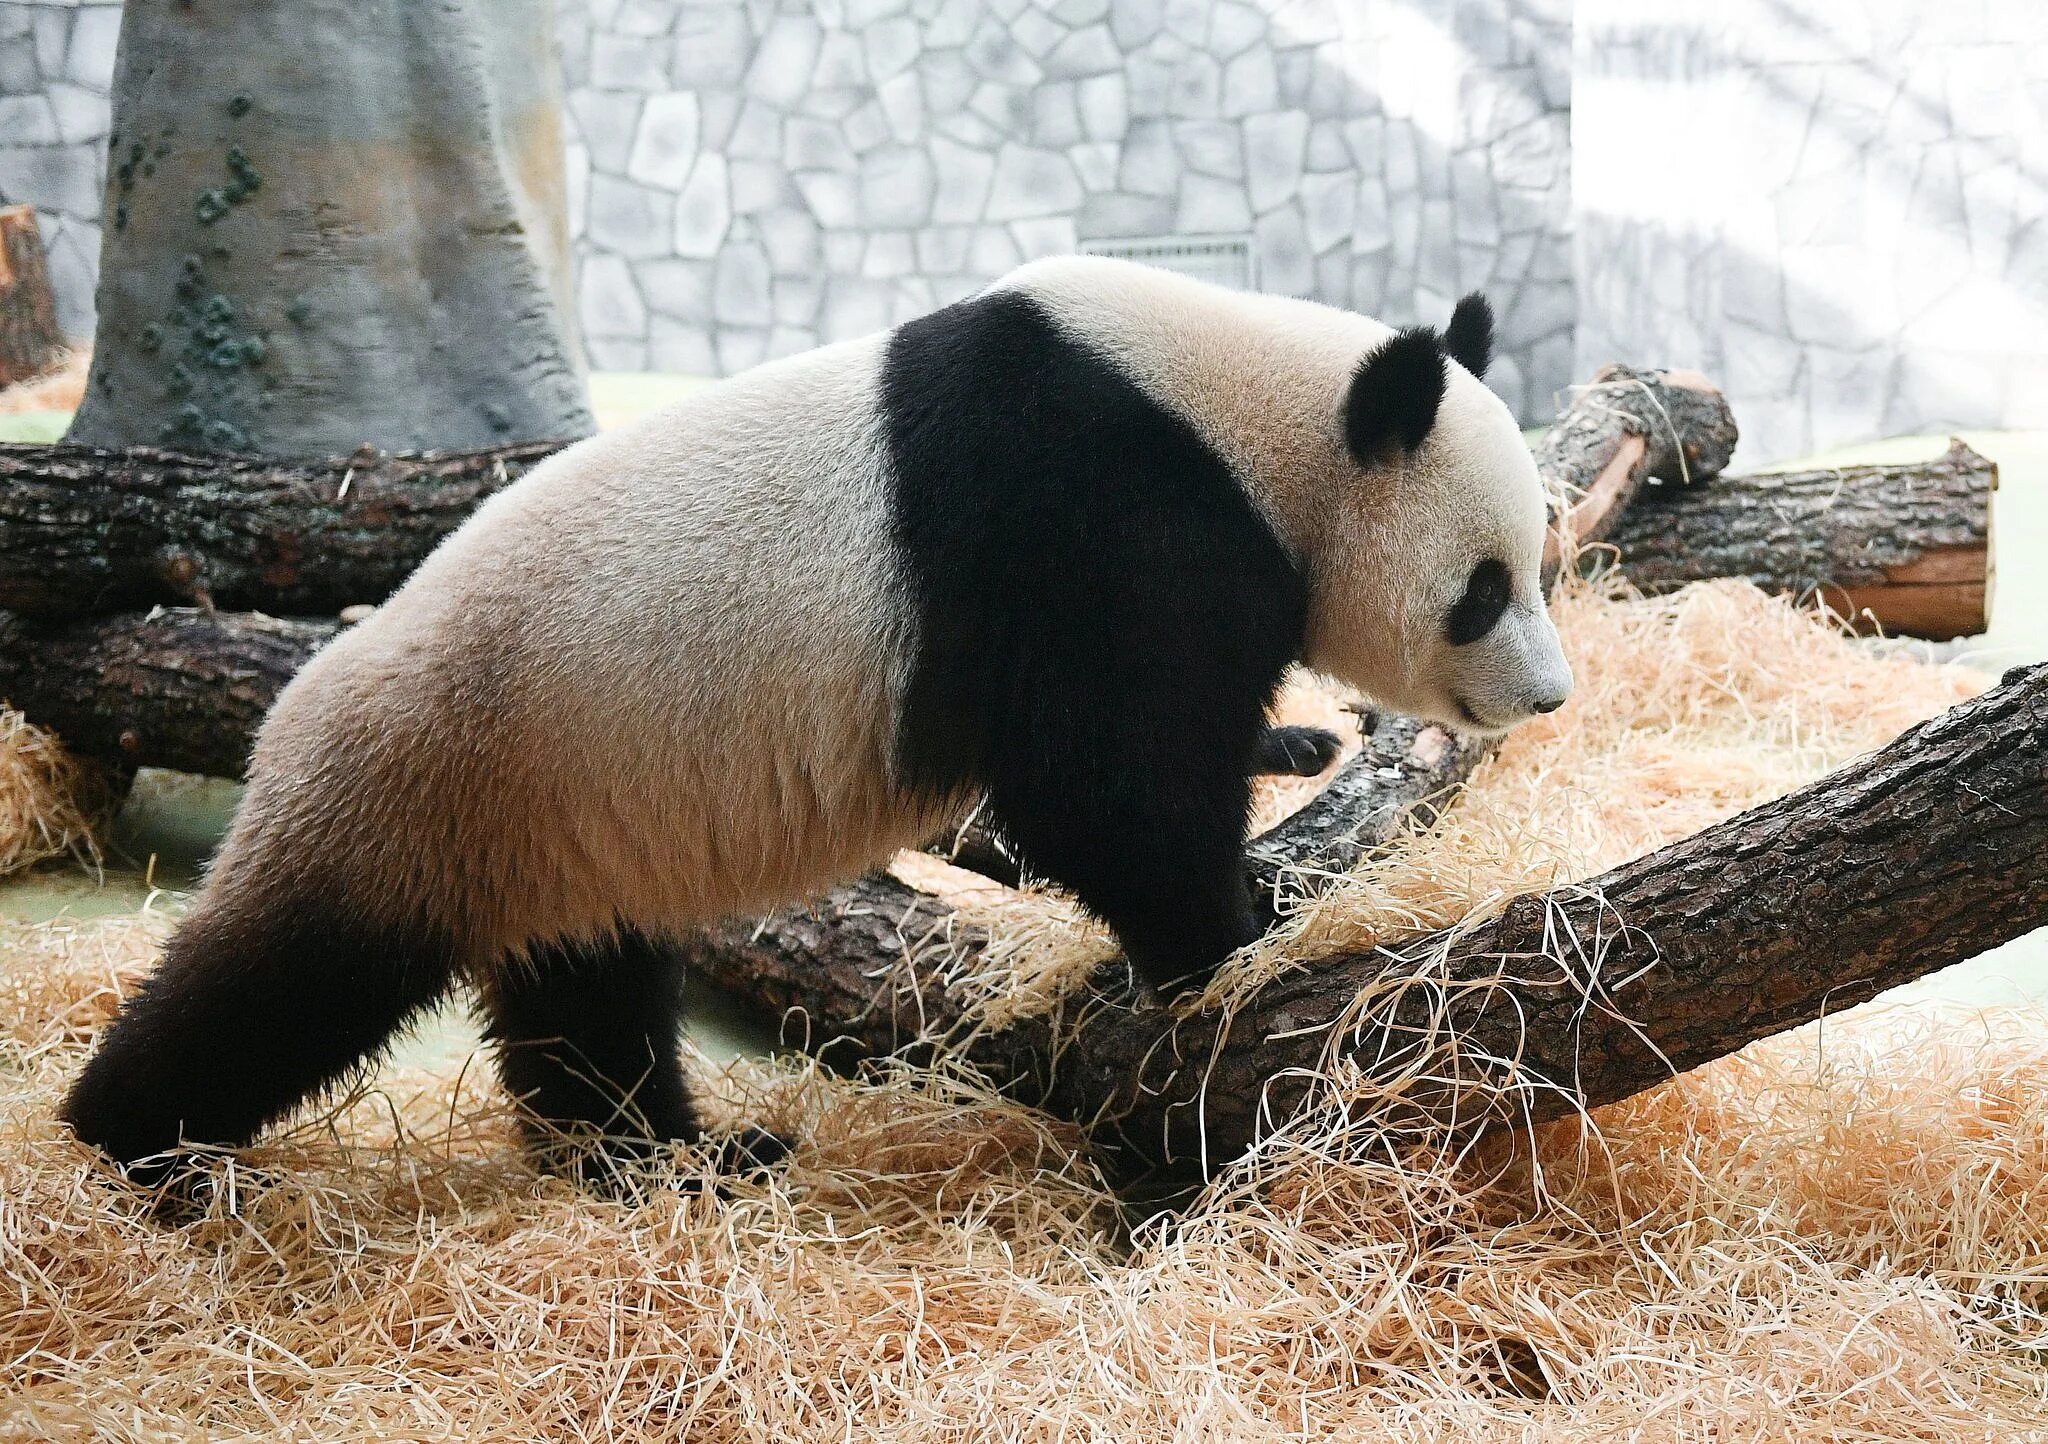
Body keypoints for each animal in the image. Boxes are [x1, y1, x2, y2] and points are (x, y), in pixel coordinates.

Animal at [59, 256, 1564, 1179]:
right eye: (1483, 590)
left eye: (1541, 562)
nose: (1546, 695)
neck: (1253, 414)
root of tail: (289, 718)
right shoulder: (1092, 510)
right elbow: (1096, 777)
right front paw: (1227, 927)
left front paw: (1288, 758)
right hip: (433, 775)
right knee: (285, 978)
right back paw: (132, 1147)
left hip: (559, 817)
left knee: (586, 999)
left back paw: (673, 1162)